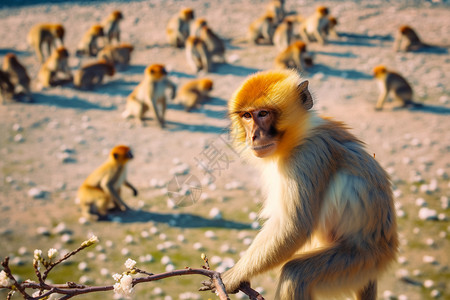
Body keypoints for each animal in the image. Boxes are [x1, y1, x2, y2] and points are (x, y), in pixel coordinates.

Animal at [202, 68, 400, 300]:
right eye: (247, 116)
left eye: (263, 114)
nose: (253, 136)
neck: (300, 134)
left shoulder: (306, 156)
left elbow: (293, 228)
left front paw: (232, 276)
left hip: (362, 262)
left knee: (296, 273)